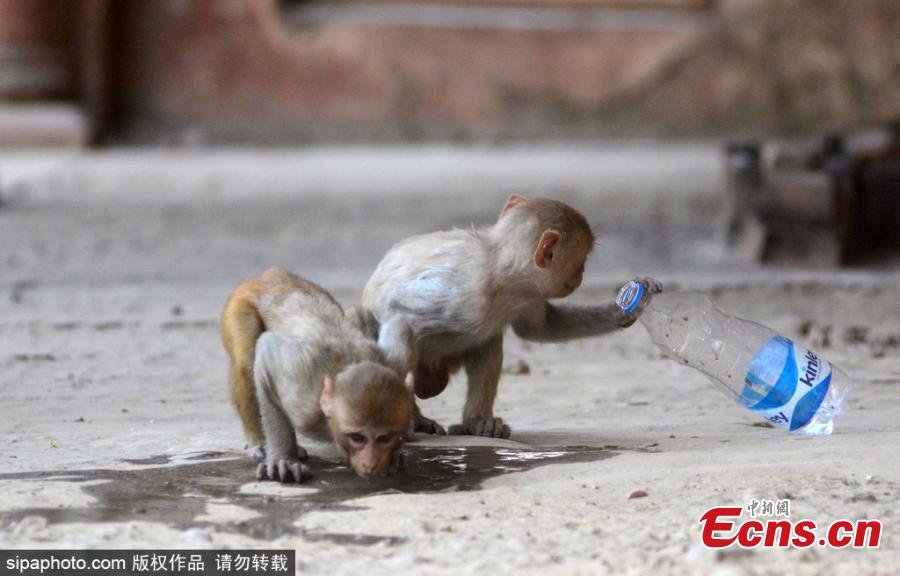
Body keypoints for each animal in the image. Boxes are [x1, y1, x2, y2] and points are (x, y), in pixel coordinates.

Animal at [221, 267, 414, 481]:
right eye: (358, 438)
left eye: (384, 438)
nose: (370, 463)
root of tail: (271, 275)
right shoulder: (303, 403)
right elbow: (267, 349)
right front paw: (283, 459)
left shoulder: (397, 363)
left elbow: (400, 324)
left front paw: (397, 451)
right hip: (239, 303)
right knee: (246, 360)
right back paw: (259, 440)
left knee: (360, 314)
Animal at [362, 195, 662, 439]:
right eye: (582, 261)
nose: (580, 275)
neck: (502, 275)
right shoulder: (464, 291)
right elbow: (397, 311)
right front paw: (411, 421)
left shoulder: (528, 294)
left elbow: (539, 328)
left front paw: (626, 307)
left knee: (488, 339)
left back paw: (476, 422)